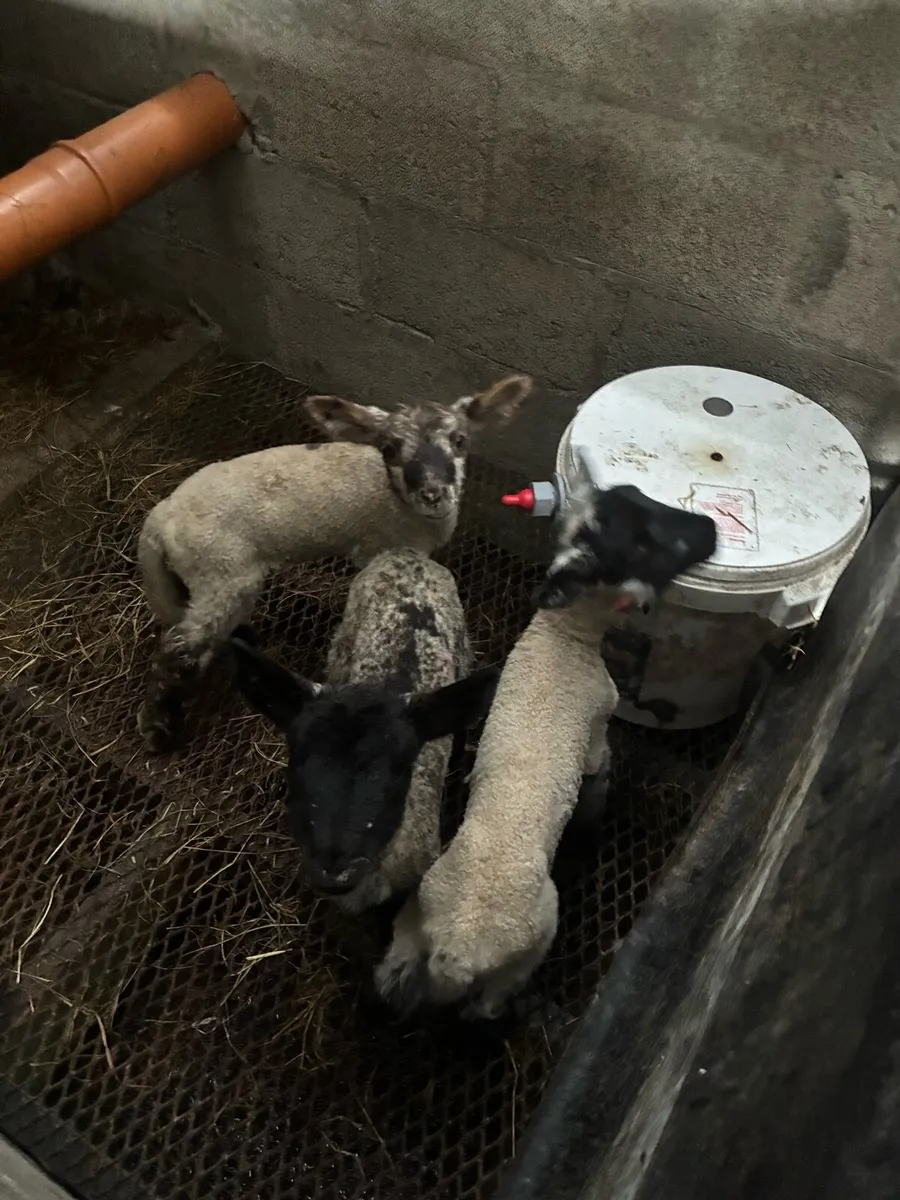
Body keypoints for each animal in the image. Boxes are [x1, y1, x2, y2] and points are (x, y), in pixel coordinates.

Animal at [135, 374, 532, 751]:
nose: (433, 495)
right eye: (390, 449)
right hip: (222, 570)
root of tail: (160, 518)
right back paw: (158, 730)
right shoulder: (377, 546)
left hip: (200, 576)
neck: (399, 501)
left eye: (460, 440)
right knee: (176, 649)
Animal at [375, 457, 719, 1020]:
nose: (711, 530)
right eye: (644, 544)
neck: (562, 636)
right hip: (534, 935)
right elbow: (598, 760)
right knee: (489, 1003)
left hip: (416, 913)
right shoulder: (599, 717)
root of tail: (456, 954)